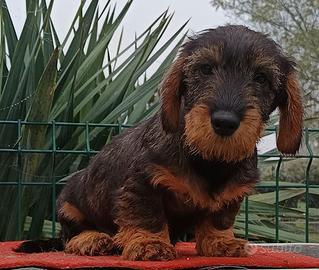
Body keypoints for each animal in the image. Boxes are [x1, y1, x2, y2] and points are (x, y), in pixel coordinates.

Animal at [15, 24, 304, 260]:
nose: (225, 122)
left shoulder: (231, 196)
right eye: (205, 68)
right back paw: (93, 239)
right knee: (69, 238)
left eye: (261, 77)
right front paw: (149, 244)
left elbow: (219, 219)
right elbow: (147, 216)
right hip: (69, 203)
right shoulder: (141, 184)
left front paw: (221, 242)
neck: (207, 159)